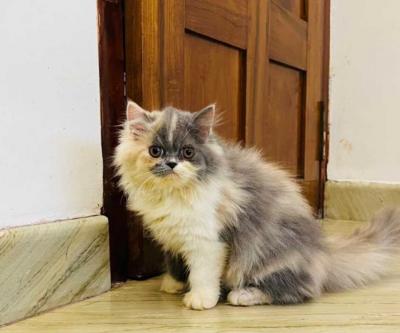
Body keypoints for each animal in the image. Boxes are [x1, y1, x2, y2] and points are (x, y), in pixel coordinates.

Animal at [114, 100, 400, 310]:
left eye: (188, 152)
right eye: (155, 151)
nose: (172, 164)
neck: (172, 194)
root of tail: (324, 255)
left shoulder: (208, 240)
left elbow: (202, 273)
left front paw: (201, 299)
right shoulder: (172, 237)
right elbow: (175, 263)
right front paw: (173, 284)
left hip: (267, 258)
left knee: (299, 291)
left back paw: (243, 295)